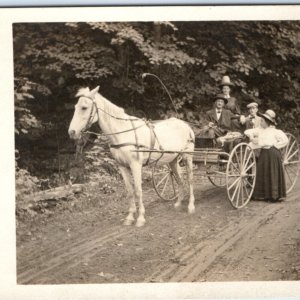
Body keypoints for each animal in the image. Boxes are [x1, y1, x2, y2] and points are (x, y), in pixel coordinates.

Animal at [68, 85, 196, 226]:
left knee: (190, 179)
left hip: (187, 157)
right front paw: (130, 217)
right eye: (75, 107)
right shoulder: (122, 166)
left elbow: (138, 191)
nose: (72, 132)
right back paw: (178, 203)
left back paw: (191, 206)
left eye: (84, 107)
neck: (123, 133)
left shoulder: (136, 165)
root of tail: (185, 125)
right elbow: (129, 191)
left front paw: (140, 218)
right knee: (179, 179)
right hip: (172, 160)